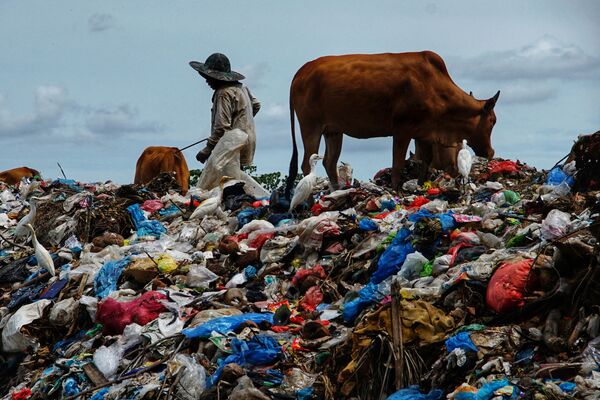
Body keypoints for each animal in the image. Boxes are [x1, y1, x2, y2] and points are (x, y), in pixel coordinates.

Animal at [288, 51, 500, 189]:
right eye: (492, 121)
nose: (490, 152)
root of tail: (301, 72)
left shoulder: (424, 133)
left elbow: (425, 162)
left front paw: (421, 186)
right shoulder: (402, 130)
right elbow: (397, 165)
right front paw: (396, 190)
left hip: (333, 130)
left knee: (330, 162)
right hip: (310, 127)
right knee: (306, 164)